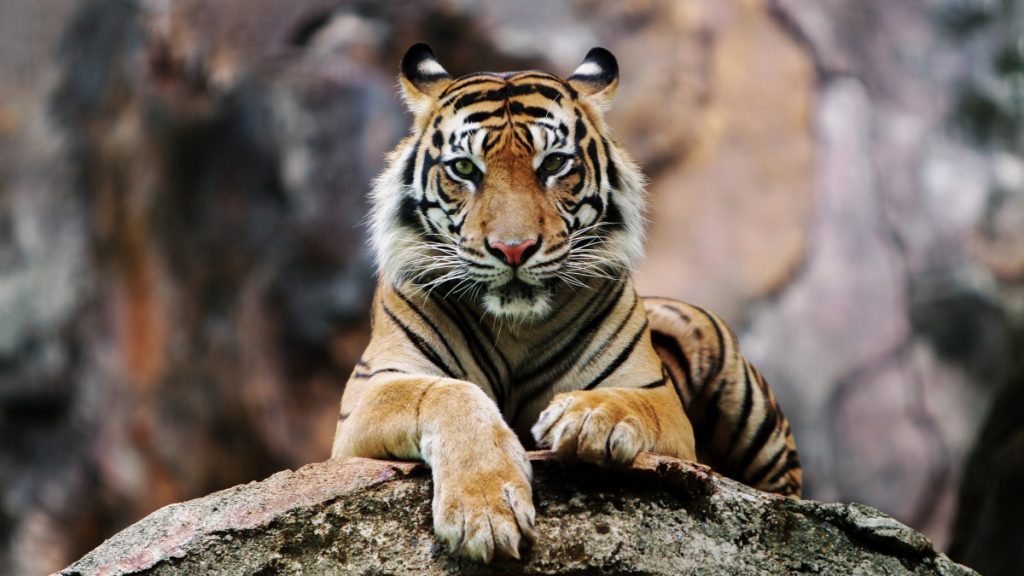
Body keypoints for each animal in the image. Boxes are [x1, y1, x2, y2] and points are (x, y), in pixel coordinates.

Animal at [331, 43, 802, 562]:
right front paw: (485, 510)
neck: (515, 326)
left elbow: (632, 402)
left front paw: (588, 417)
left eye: (554, 164)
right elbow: (447, 394)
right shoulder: (370, 392)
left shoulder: (656, 395)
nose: (513, 249)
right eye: (465, 169)